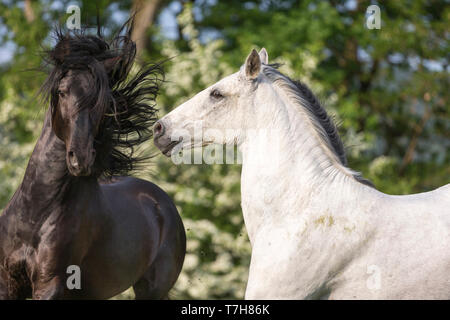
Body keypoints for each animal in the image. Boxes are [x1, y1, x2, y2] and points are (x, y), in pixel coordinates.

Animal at [0, 23, 185, 300]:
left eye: (101, 101)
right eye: (62, 92)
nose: (81, 158)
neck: (34, 216)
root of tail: (163, 202)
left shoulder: (50, 284)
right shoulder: (7, 284)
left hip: (151, 289)